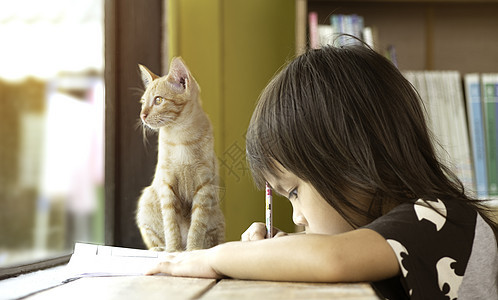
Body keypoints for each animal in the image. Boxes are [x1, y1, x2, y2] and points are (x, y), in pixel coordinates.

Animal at [134, 57, 224, 252]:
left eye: (158, 100)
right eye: (143, 102)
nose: (142, 115)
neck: (182, 138)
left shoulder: (205, 186)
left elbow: (197, 224)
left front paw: (193, 250)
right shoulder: (167, 186)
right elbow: (170, 224)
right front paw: (174, 250)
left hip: (217, 217)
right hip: (146, 201)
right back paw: (161, 249)